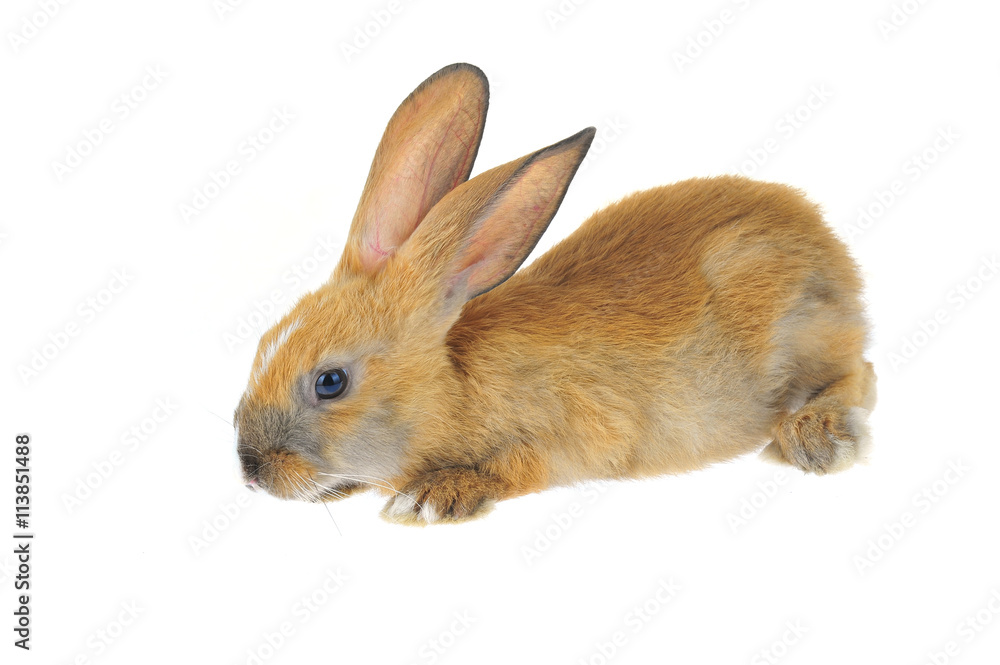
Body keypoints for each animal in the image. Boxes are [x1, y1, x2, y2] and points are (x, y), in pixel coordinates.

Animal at [234, 62, 876, 525]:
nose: (250, 468)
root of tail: (828, 246)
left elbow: (518, 466)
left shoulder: (569, 432)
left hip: (799, 329)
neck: (452, 386)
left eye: (331, 381)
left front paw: (430, 498)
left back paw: (816, 438)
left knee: (858, 375)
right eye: (263, 341)